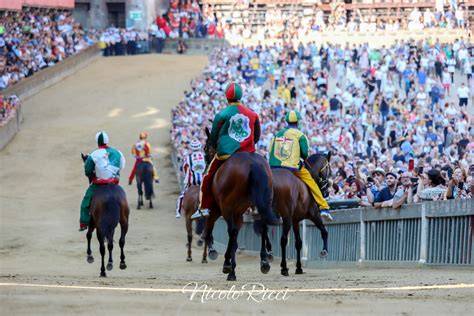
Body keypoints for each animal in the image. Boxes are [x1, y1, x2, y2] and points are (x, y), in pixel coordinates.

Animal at [200, 127, 278, 280]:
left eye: (206, 148)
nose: (206, 167)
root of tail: (253, 163)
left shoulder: (219, 209)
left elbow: (224, 231)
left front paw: (227, 264)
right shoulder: (238, 214)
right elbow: (235, 238)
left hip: (226, 207)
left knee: (231, 230)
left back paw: (228, 267)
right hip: (264, 203)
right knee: (263, 226)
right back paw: (264, 262)